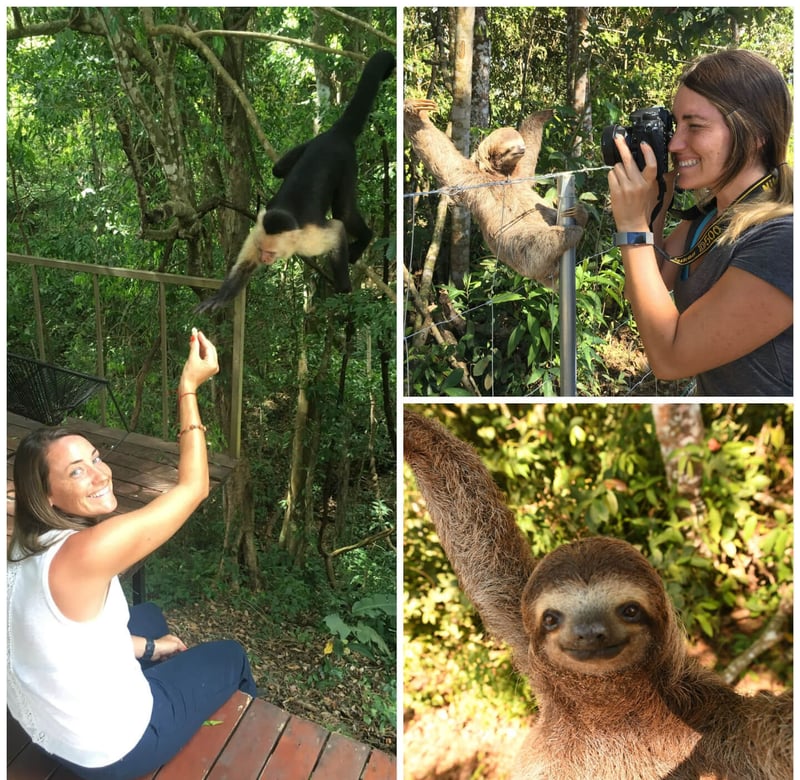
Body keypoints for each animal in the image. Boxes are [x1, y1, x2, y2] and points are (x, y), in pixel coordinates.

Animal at [194, 49, 394, 314]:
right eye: (262, 251)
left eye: (270, 252)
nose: (264, 259)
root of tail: (335, 135)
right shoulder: (256, 234)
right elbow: (243, 267)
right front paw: (219, 298)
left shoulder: (307, 240)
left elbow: (337, 229)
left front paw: (343, 287)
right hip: (313, 143)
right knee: (278, 170)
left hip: (347, 163)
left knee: (345, 211)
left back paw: (365, 238)